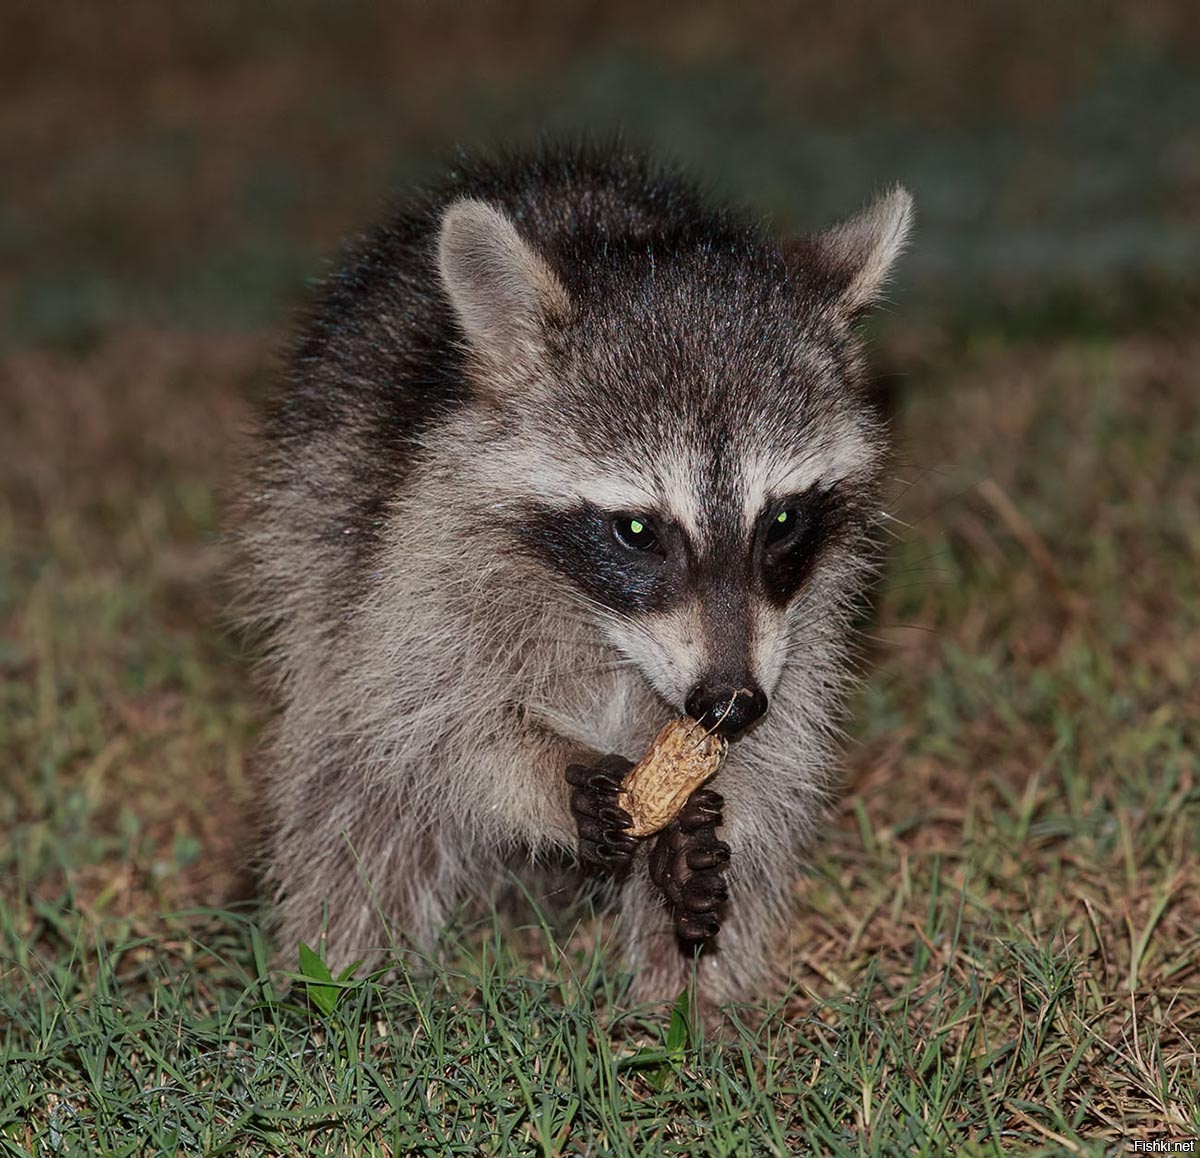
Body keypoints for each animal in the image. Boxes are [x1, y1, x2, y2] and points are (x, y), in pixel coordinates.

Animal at [236, 142, 907, 1012]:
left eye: (784, 522)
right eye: (638, 532)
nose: (728, 702)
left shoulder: (803, 614)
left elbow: (780, 747)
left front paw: (704, 842)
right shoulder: (419, 547)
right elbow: (424, 720)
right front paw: (554, 777)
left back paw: (693, 1000)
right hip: (316, 533)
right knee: (353, 791)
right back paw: (344, 977)